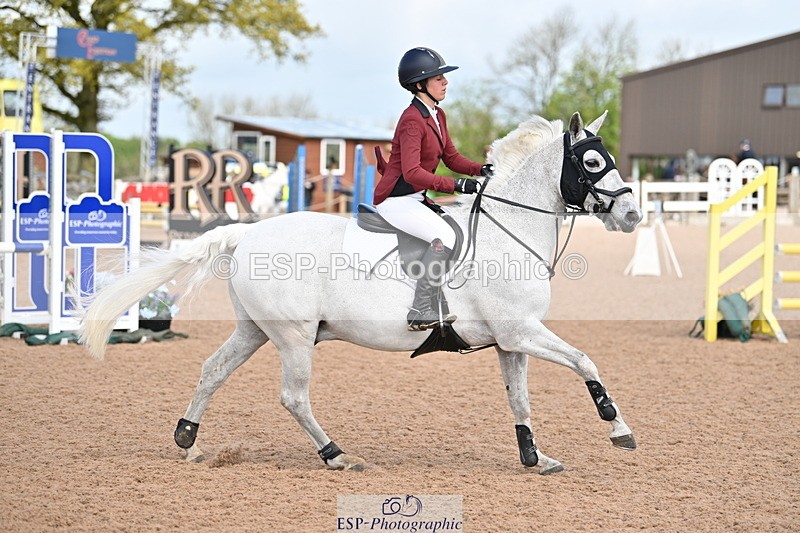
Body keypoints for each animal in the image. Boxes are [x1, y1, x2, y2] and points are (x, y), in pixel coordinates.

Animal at [80, 111, 642, 475]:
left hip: (255, 330)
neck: (506, 231)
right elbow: (585, 361)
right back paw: (336, 455)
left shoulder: (510, 340)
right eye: (593, 163)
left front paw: (534, 457)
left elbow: (519, 399)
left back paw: (188, 441)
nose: (633, 215)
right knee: (294, 396)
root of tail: (248, 233)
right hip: (294, 336)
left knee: (213, 370)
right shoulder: (522, 331)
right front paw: (618, 429)